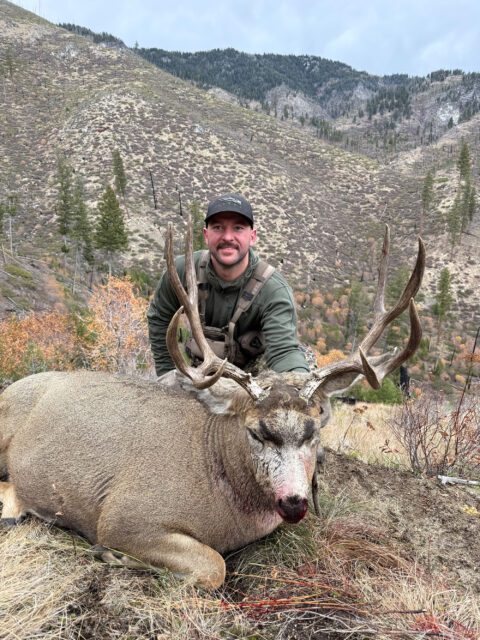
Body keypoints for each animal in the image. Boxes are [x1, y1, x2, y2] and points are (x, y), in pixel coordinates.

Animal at [0, 214, 425, 588]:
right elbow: (214, 566)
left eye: (313, 432)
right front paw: (112, 555)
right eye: (256, 432)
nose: (294, 502)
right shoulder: (123, 515)